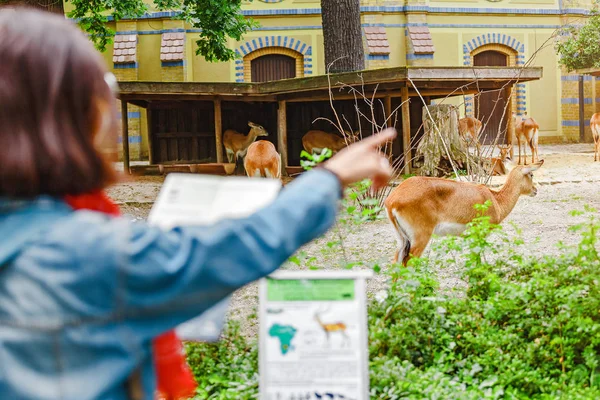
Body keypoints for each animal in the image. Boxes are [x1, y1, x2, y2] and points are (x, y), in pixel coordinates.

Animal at [384, 159, 544, 266]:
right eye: (531, 174)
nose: (535, 190)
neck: (495, 199)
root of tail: (391, 200)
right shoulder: (480, 234)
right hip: (420, 238)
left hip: (402, 240)